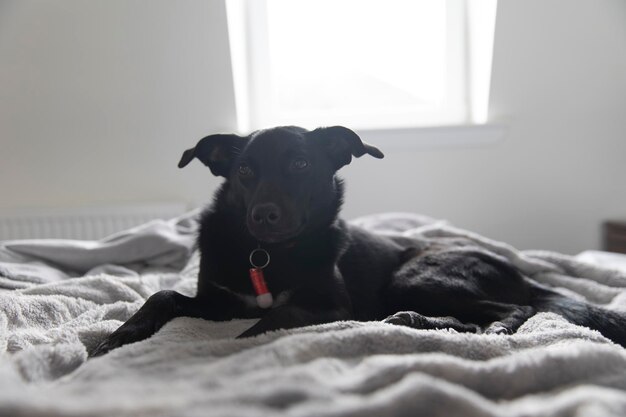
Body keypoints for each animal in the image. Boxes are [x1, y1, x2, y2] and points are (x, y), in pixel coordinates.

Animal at [90, 125, 624, 356]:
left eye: (301, 164)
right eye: (244, 171)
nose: (263, 214)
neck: (268, 255)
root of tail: (520, 273)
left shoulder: (331, 306)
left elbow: (277, 316)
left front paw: (235, 345)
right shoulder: (220, 301)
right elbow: (162, 293)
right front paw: (121, 335)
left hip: (421, 275)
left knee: (518, 310)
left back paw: (488, 327)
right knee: (476, 319)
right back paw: (413, 322)